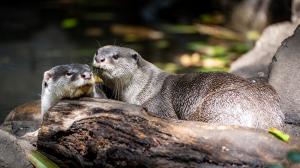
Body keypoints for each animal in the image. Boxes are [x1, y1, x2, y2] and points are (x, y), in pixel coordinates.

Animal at [92, 45, 284, 129]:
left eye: (116, 56)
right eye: (97, 51)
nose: (99, 58)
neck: (144, 87)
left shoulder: (159, 106)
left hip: (220, 101)